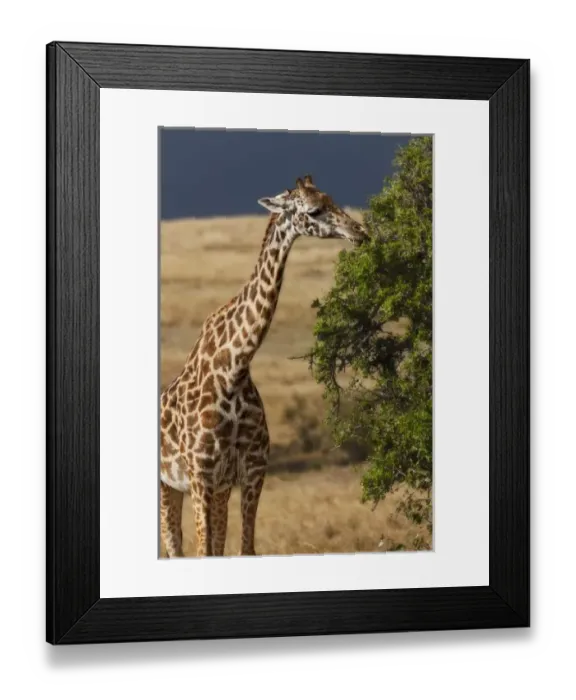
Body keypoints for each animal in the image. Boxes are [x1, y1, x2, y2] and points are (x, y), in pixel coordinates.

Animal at [159, 174, 368, 558]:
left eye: (331, 198)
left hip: (212, 489)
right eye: (313, 210)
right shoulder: (200, 474)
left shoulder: (251, 471)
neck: (233, 369)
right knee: (175, 547)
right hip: (169, 484)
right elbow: (203, 550)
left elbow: (244, 549)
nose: (359, 232)